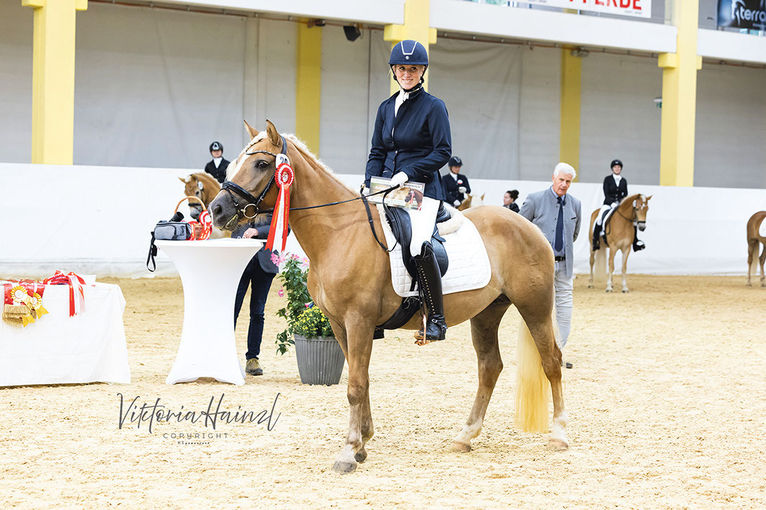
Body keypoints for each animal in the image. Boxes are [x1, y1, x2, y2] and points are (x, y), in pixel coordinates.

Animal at [210, 120, 568, 474]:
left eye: (261, 163)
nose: (217, 209)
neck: (340, 233)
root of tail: (529, 226)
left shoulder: (359, 320)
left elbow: (355, 385)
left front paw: (348, 451)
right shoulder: (339, 324)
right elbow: (362, 379)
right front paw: (363, 441)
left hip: (534, 306)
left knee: (551, 361)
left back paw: (559, 434)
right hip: (487, 313)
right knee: (490, 367)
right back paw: (465, 436)